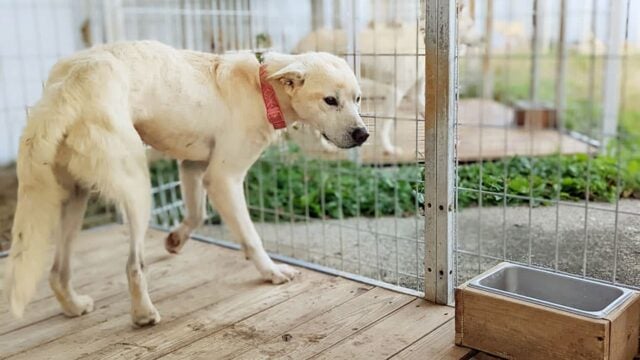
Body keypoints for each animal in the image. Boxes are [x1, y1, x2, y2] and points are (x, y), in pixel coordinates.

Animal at [5, 41, 368, 326]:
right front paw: (271, 272)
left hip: (74, 197)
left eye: (358, 99)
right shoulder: (223, 178)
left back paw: (74, 305)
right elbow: (250, 236)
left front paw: (175, 240)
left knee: (57, 271)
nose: (363, 135)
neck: (261, 86)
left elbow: (196, 214)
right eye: (330, 101)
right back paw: (143, 314)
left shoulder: (193, 167)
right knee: (133, 264)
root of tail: (67, 89)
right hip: (137, 187)